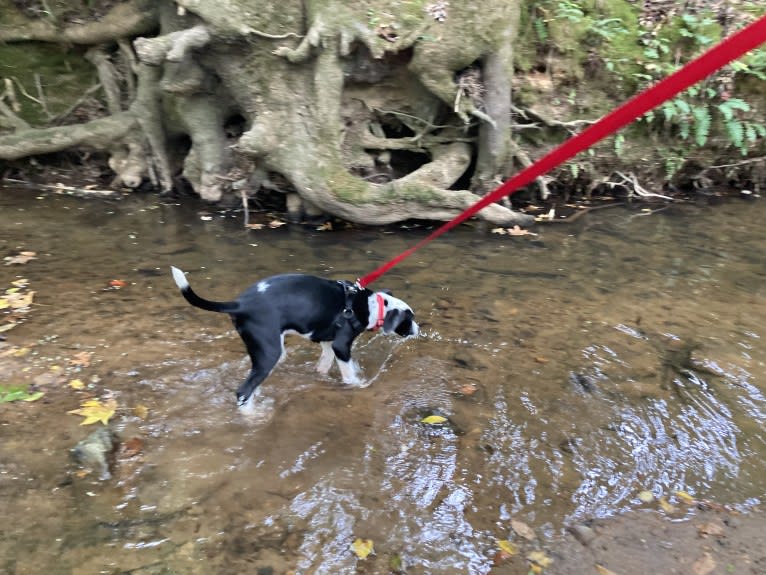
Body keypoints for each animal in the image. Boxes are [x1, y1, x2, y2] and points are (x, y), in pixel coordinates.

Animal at [171, 268, 420, 412]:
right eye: (409, 319)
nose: (418, 329)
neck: (369, 305)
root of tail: (240, 303)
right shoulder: (341, 345)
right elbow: (349, 374)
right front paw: (357, 384)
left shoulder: (327, 343)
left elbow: (324, 364)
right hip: (269, 353)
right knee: (243, 391)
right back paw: (252, 415)